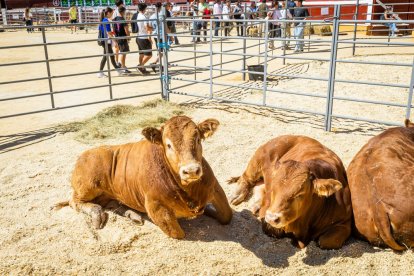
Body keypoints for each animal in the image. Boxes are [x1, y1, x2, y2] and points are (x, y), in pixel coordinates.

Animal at [54, 115, 233, 238]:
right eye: (168, 144)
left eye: (197, 139)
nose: (191, 170)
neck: (189, 189)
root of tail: (85, 154)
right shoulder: (155, 205)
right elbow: (177, 232)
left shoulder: (215, 188)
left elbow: (227, 215)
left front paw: (209, 209)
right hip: (87, 185)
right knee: (75, 201)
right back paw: (97, 213)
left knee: (111, 203)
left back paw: (132, 215)